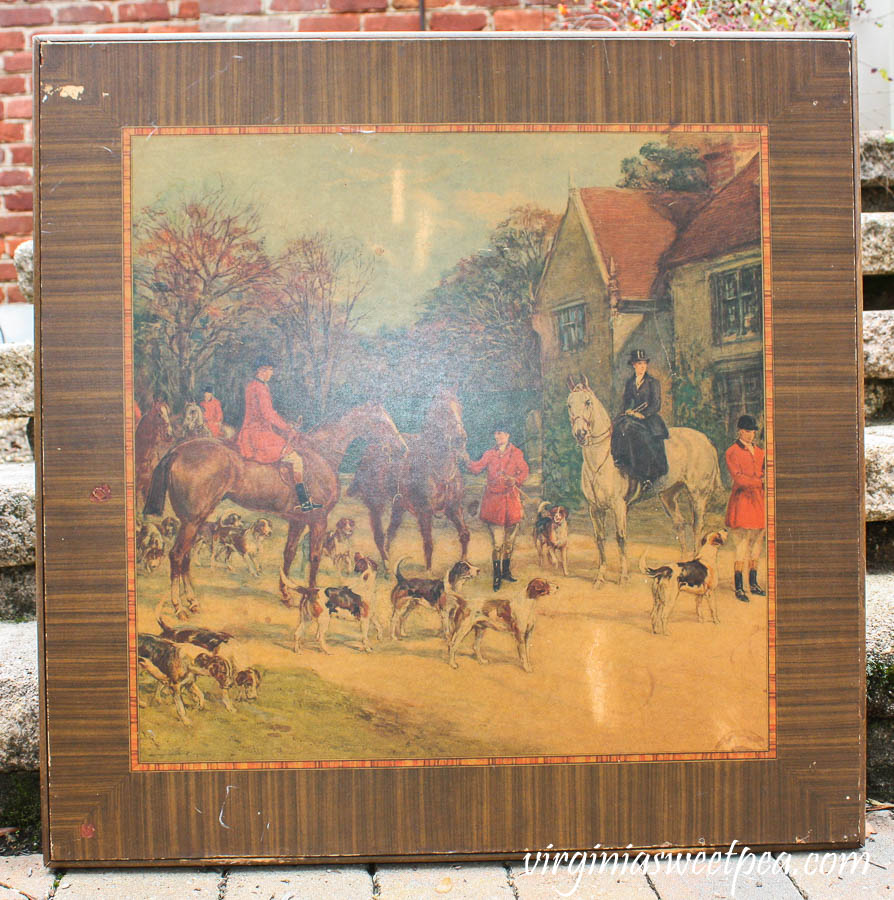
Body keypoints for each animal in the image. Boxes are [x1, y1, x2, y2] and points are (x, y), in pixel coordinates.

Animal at [144, 402, 406, 620]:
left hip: (194, 519)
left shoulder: (297, 520)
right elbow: (314, 557)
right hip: (192, 519)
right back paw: (178, 606)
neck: (321, 453)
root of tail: (177, 451)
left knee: (186, 557)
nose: (402, 449)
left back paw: (192, 601)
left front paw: (287, 594)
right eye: (382, 422)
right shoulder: (318, 519)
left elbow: (288, 554)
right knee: (177, 555)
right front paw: (312, 598)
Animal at [350, 384, 472, 568]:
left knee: (390, 533)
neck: (440, 469)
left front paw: (464, 564)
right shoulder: (424, 511)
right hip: (375, 504)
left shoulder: (454, 507)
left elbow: (464, 535)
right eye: (442, 410)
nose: (461, 438)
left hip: (398, 506)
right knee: (379, 535)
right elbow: (428, 544)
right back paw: (386, 564)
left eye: (460, 407)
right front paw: (428, 571)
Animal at [568, 376, 728, 588]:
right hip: (668, 495)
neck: (601, 458)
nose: (580, 433)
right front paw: (599, 578)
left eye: (588, 402)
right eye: (569, 404)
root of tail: (705, 440)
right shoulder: (594, 508)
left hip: (698, 495)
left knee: (697, 526)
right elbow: (600, 540)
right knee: (680, 524)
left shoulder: (619, 506)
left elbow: (620, 538)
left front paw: (623, 578)